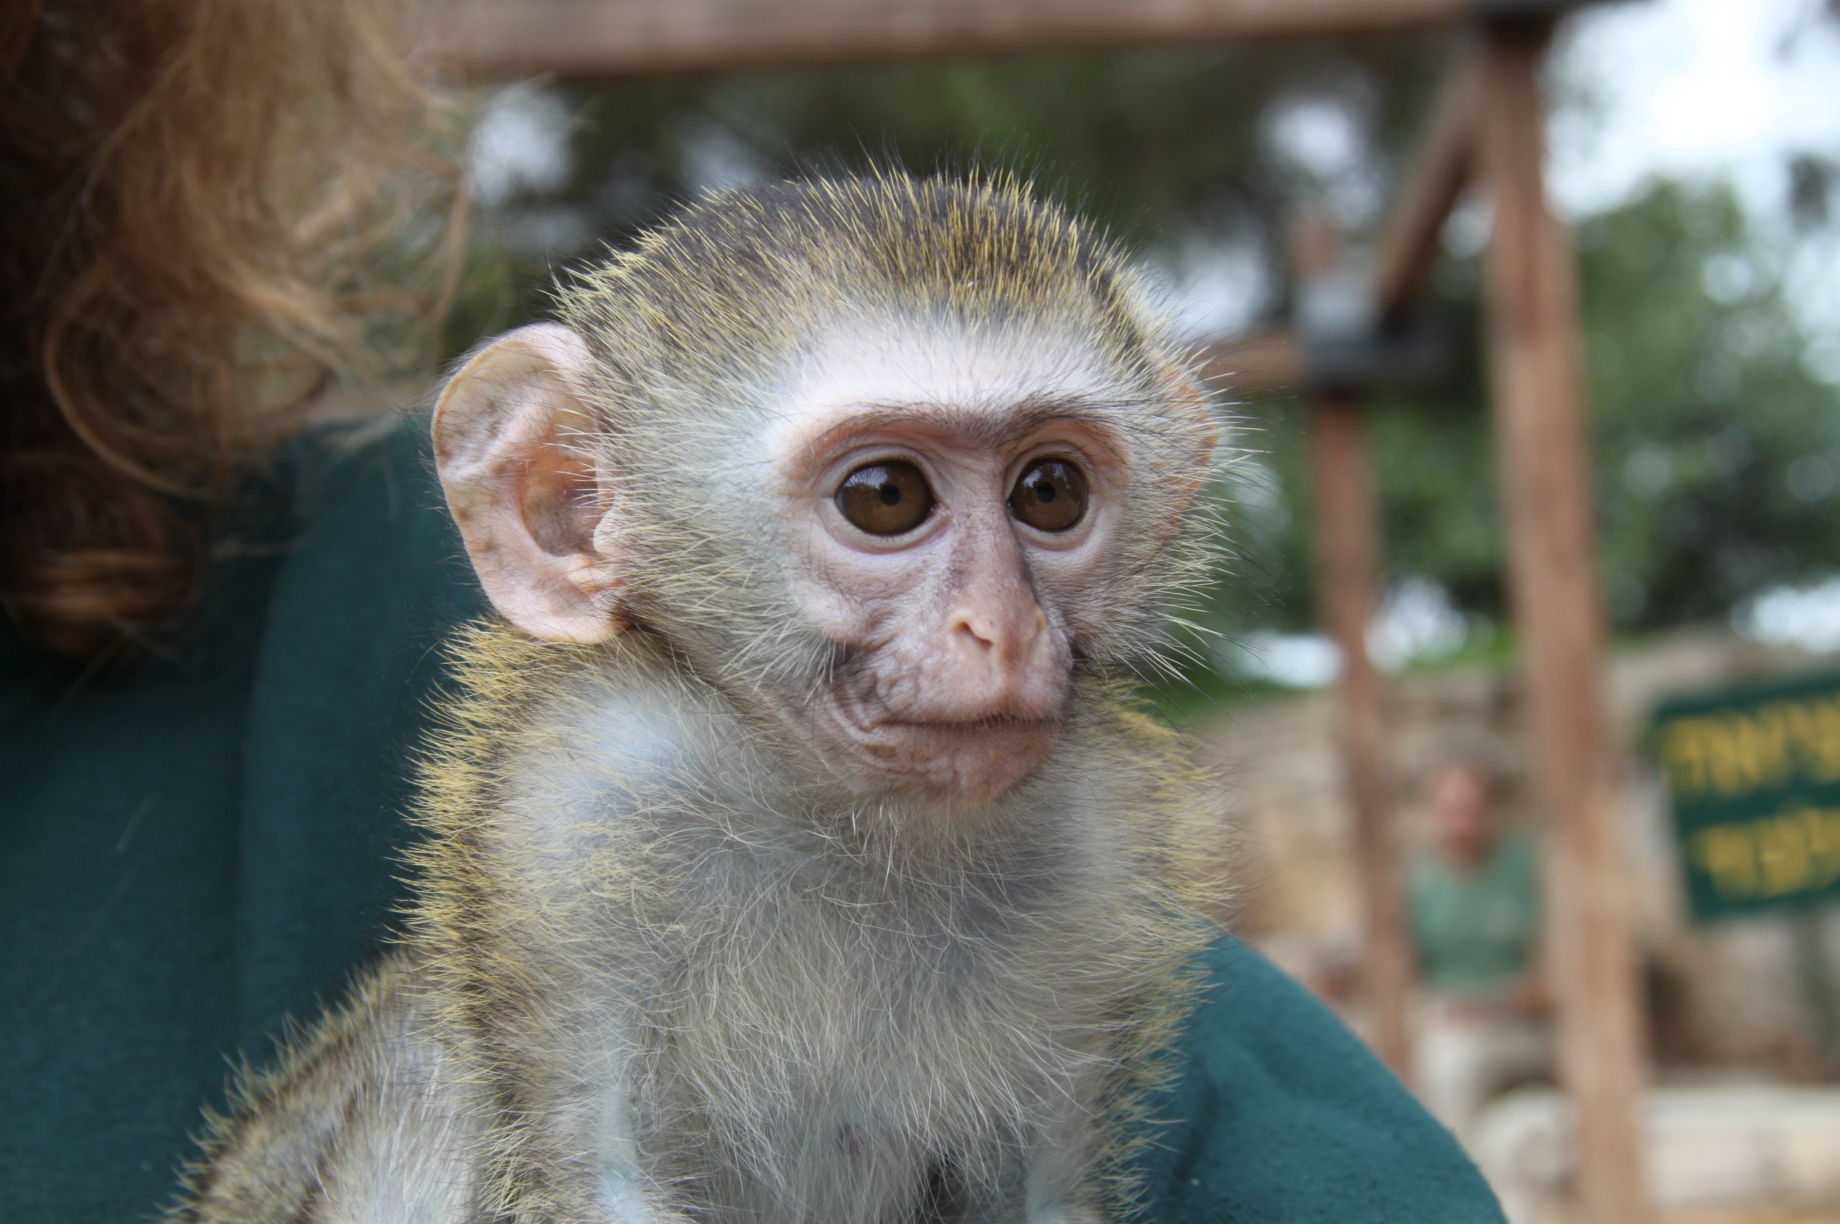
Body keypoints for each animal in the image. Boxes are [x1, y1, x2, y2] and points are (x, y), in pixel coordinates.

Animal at [171, 172, 1228, 1224]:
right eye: (886, 496)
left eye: (1049, 491)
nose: (1004, 628)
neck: (849, 823)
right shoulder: (581, 800)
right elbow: (588, 1175)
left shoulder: (1098, 851)